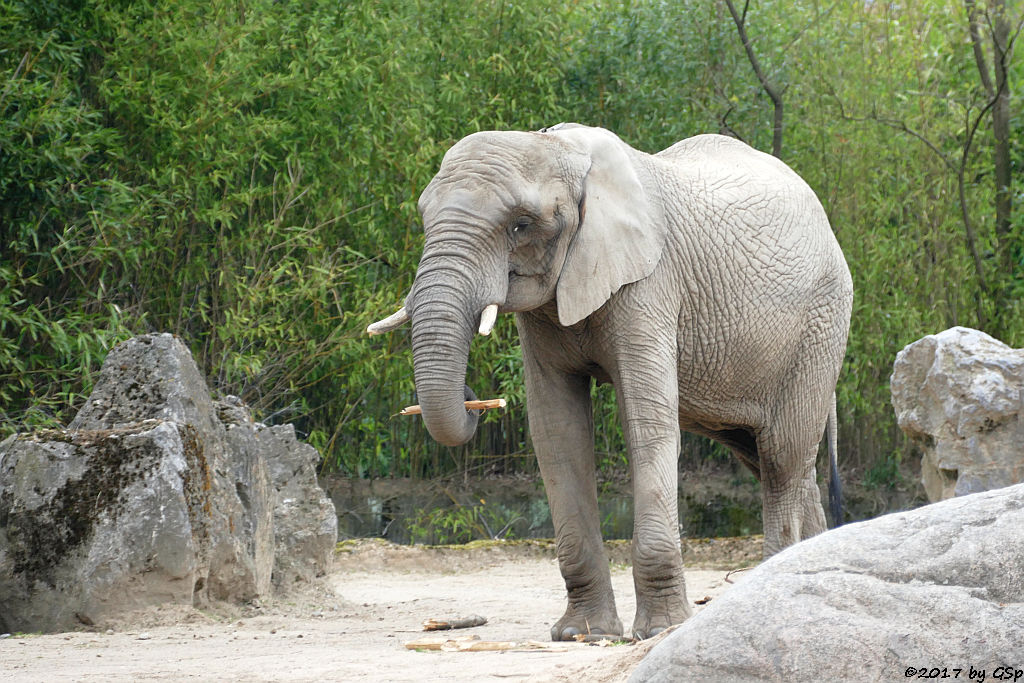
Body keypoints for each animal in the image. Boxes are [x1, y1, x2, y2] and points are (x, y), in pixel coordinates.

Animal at [364, 122, 851, 643]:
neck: (560, 148)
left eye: (520, 224)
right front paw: (582, 634)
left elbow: (647, 424)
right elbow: (556, 432)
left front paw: (659, 631)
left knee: (781, 456)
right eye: (423, 217)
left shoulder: (650, 283)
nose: (475, 399)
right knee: (772, 458)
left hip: (821, 324)